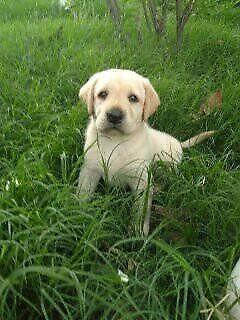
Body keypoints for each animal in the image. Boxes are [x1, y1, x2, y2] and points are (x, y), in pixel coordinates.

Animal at [77, 69, 214, 235]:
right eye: (102, 94)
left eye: (133, 98)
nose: (114, 115)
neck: (115, 141)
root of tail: (180, 144)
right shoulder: (89, 170)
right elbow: (83, 194)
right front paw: (79, 215)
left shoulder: (141, 180)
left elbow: (140, 208)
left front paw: (138, 231)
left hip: (168, 166)